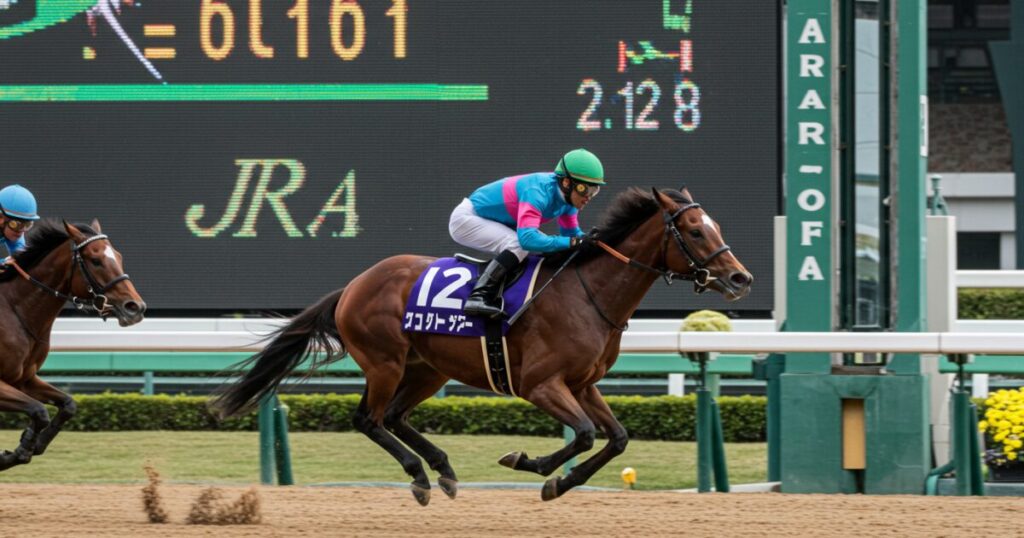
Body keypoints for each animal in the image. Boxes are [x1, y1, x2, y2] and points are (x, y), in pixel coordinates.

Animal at [0, 220, 146, 471]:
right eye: (95, 260)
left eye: (118, 256)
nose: (135, 307)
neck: (15, 311)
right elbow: (38, 410)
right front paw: (17, 452)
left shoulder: (24, 379)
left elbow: (67, 405)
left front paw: (33, 444)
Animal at [212, 187, 752, 504]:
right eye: (695, 230)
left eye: (716, 227)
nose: (739, 278)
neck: (588, 293)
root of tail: (354, 285)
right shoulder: (540, 384)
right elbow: (582, 434)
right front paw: (532, 466)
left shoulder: (584, 384)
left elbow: (615, 438)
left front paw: (559, 482)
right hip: (384, 362)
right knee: (369, 419)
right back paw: (421, 476)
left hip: (428, 368)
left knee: (394, 417)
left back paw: (444, 470)